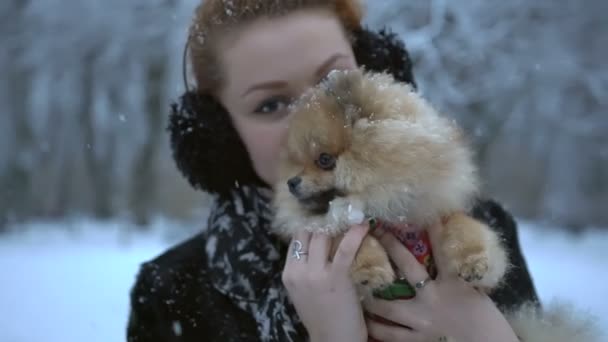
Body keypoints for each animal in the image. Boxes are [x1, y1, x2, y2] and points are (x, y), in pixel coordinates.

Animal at [270, 69, 508, 294]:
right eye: (298, 162)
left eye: (324, 159)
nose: (291, 182)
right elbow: (349, 238)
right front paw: (371, 270)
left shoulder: (439, 214)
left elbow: (464, 225)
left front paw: (473, 259)